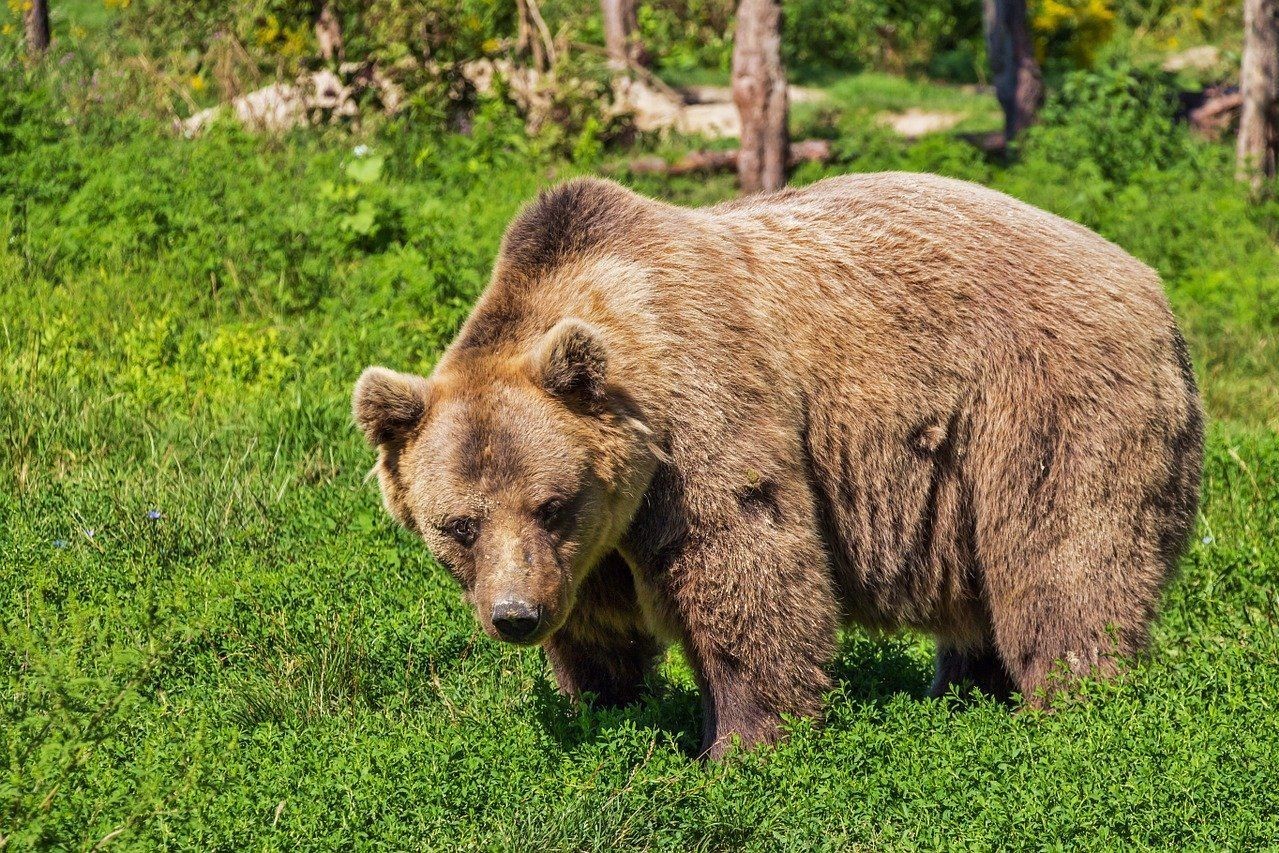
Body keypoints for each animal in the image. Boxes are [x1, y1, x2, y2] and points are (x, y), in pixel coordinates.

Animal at [350, 173, 1197, 762]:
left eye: (551, 503)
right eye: (458, 524)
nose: (515, 615)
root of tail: (1150, 283)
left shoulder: (701, 419)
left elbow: (746, 567)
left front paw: (739, 744)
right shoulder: (592, 544)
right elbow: (597, 625)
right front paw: (604, 704)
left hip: (1043, 401)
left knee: (1063, 556)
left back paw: (1070, 702)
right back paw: (961, 689)